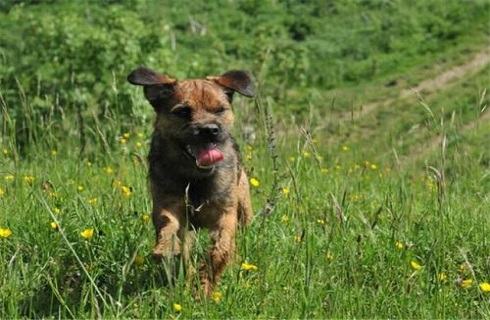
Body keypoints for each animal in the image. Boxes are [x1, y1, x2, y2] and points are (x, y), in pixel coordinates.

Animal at [126, 66, 256, 296]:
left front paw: (206, 284)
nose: (209, 130)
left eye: (219, 110)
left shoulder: (225, 213)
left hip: (244, 207)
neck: (196, 177)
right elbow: (167, 225)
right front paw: (167, 249)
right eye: (182, 112)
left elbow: (221, 248)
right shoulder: (168, 205)